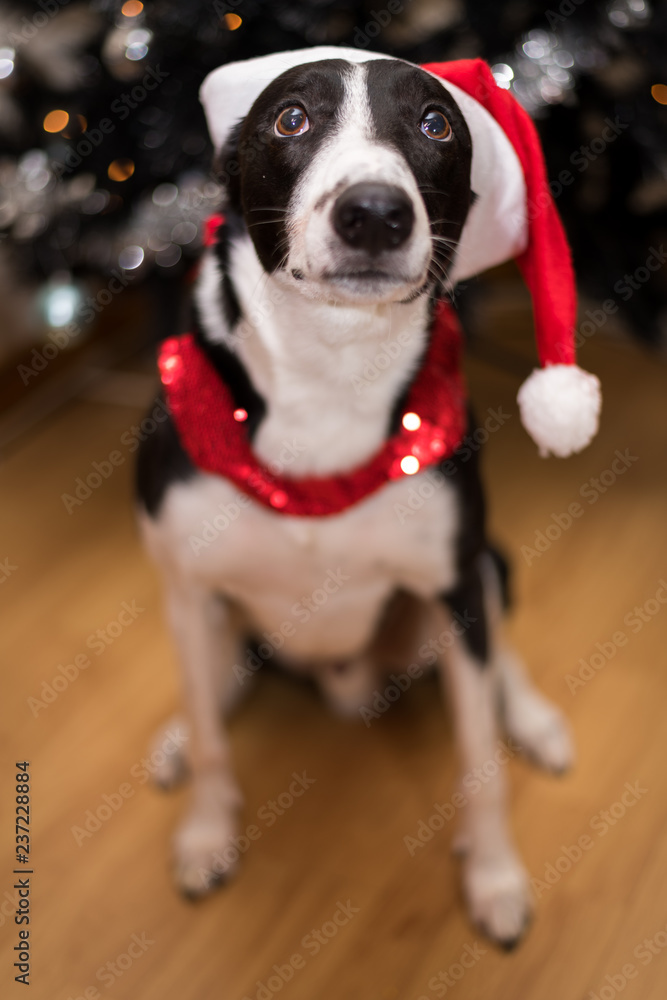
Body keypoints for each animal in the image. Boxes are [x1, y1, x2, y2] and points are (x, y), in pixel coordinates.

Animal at [136, 47, 596, 948]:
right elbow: (210, 737)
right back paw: (177, 731)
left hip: (483, 569)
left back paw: (531, 719)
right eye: (290, 119)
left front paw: (493, 876)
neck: (327, 376)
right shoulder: (186, 580)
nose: (374, 214)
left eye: (435, 123)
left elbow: (478, 760)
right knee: (214, 673)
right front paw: (205, 830)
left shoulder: (454, 581)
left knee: (499, 653)